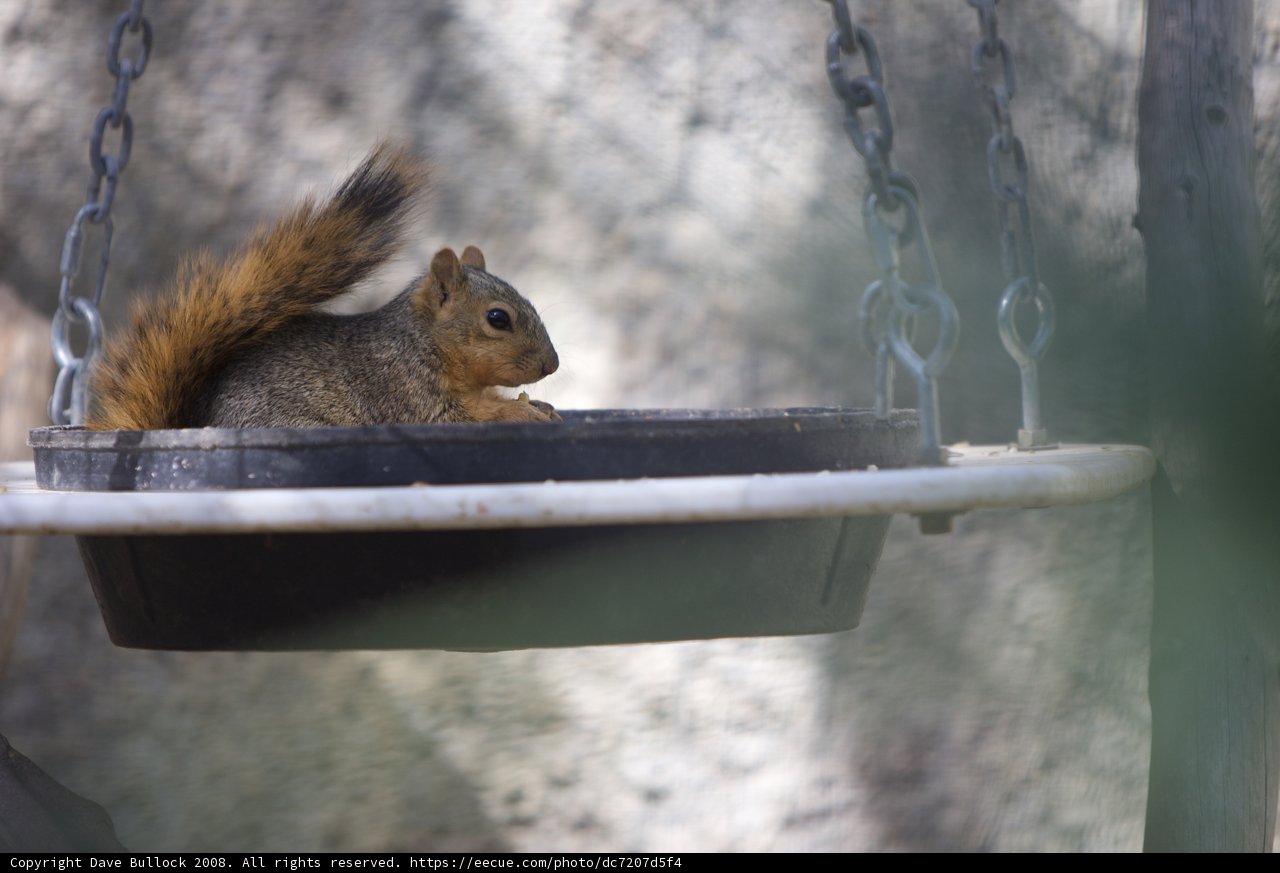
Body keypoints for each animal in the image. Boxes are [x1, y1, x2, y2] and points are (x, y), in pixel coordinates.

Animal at [86, 143, 560, 430]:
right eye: (497, 318)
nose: (551, 365)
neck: (421, 340)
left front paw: (537, 405)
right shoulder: (403, 388)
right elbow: (456, 417)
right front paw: (519, 411)